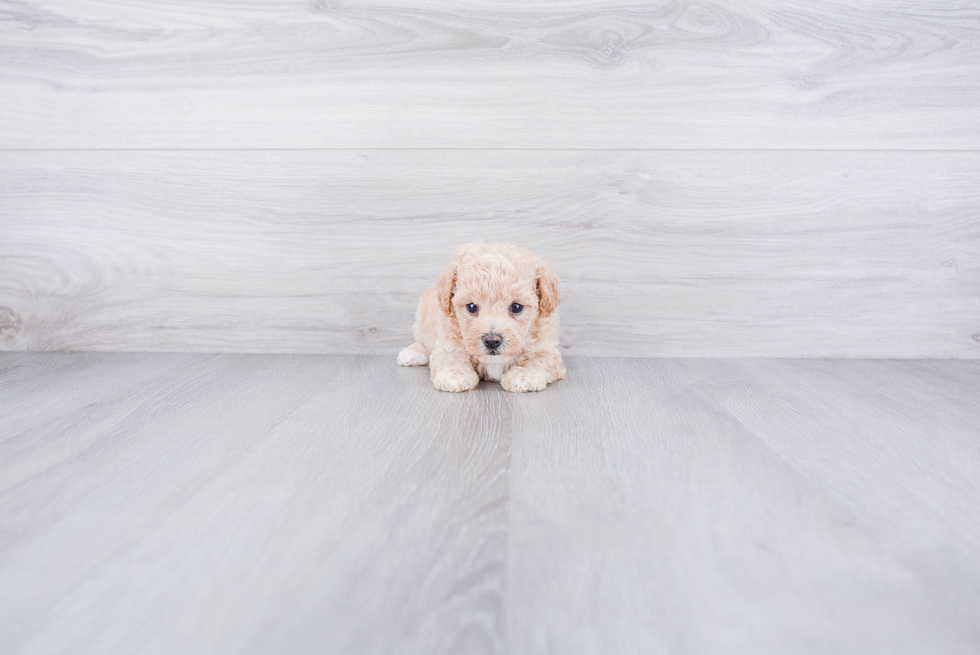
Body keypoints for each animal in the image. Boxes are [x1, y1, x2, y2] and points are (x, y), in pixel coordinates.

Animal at [398, 243, 568, 392]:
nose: (492, 341)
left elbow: (536, 359)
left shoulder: (545, 348)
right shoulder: (448, 342)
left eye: (516, 307)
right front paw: (454, 376)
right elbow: (452, 356)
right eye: (472, 307)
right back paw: (412, 353)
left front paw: (524, 376)